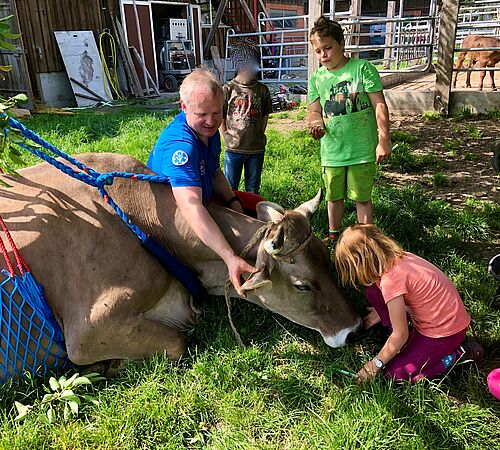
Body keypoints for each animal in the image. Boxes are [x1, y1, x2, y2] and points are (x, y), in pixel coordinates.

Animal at [0, 153, 360, 374]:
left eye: (326, 256)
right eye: (303, 285)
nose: (356, 327)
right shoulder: (87, 331)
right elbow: (177, 343)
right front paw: (105, 366)